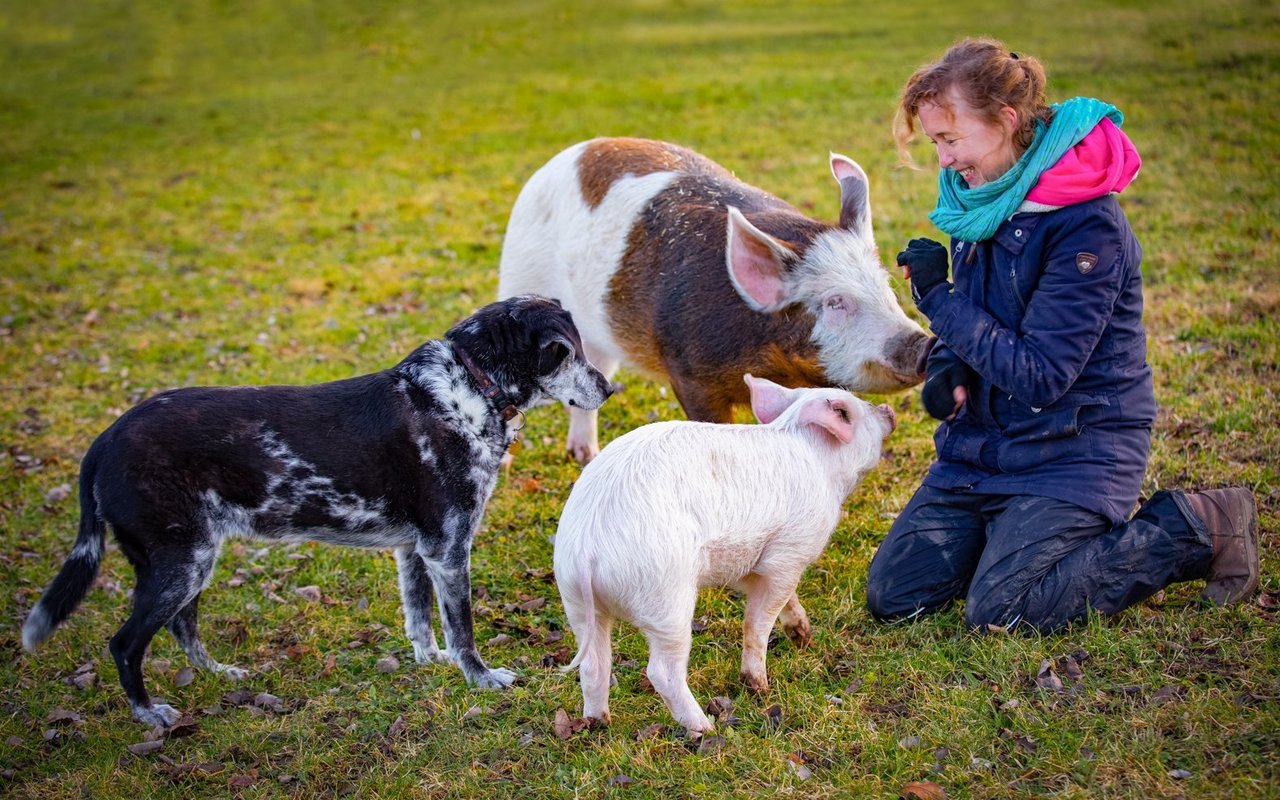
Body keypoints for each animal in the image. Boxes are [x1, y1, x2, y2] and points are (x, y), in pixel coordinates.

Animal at [22, 293, 611, 721]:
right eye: (565, 351)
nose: (609, 389)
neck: (467, 388)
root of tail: (105, 440)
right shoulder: (448, 549)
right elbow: (461, 629)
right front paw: (482, 679)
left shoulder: (414, 550)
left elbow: (420, 622)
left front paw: (430, 665)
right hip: (179, 563)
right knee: (125, 644)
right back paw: (148, 713)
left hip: (190, 562)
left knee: (182, 627)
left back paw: (218, 674)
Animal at [496, 138, 931, 460]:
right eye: (834, 302)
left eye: (885, 286)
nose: (923, 344)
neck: (765, 359)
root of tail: (566, 154)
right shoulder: (689, 374)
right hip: (518, 275)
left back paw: (584, 456)